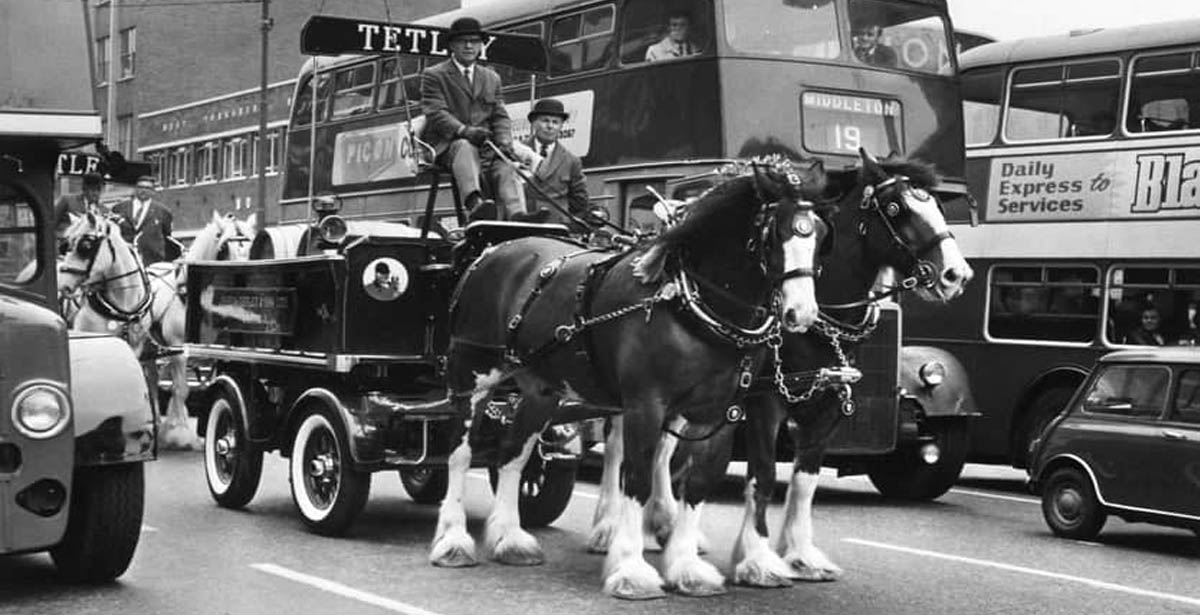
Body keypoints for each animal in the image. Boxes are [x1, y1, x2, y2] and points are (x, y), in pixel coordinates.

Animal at [59, 209, 255, 449]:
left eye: (252, 243)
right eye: (224, 247)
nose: (64, 284)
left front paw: (175, 429)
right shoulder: (176, 348)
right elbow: (180, 389)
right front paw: (180, 433)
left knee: (151, 382)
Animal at [432, 156, 835, 598]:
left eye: (820, 236)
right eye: (775, 233)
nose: (802, 314)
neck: (691, 307)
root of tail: (491, 252)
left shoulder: (718, 412)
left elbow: (697, 484)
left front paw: (686, 566)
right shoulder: (646, 404)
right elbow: (637, 477)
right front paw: (630, 568)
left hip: (542, 391)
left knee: (512, 453)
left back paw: (509, 538)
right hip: (473, 375)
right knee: (459, 452)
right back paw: (452, 540)